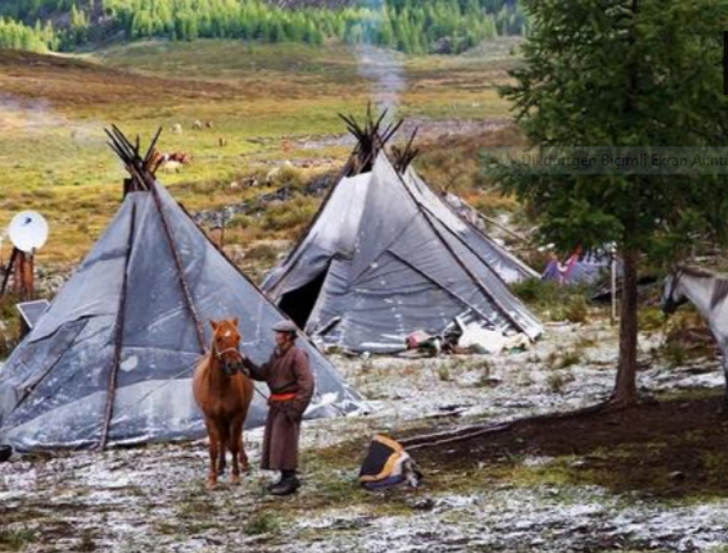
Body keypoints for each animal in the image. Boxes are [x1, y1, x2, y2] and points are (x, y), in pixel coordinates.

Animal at [193, 318, 254, 488]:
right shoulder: (211, 417)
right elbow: (213, 448)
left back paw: (244, 463)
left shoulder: (237, 415)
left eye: (238, 337)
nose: (234, 365)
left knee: (236, 437)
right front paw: (212, 478)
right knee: (222, 438)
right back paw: (220, 466)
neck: (220, 387)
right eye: (218, 338)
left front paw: (235, 475)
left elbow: (233, 445)